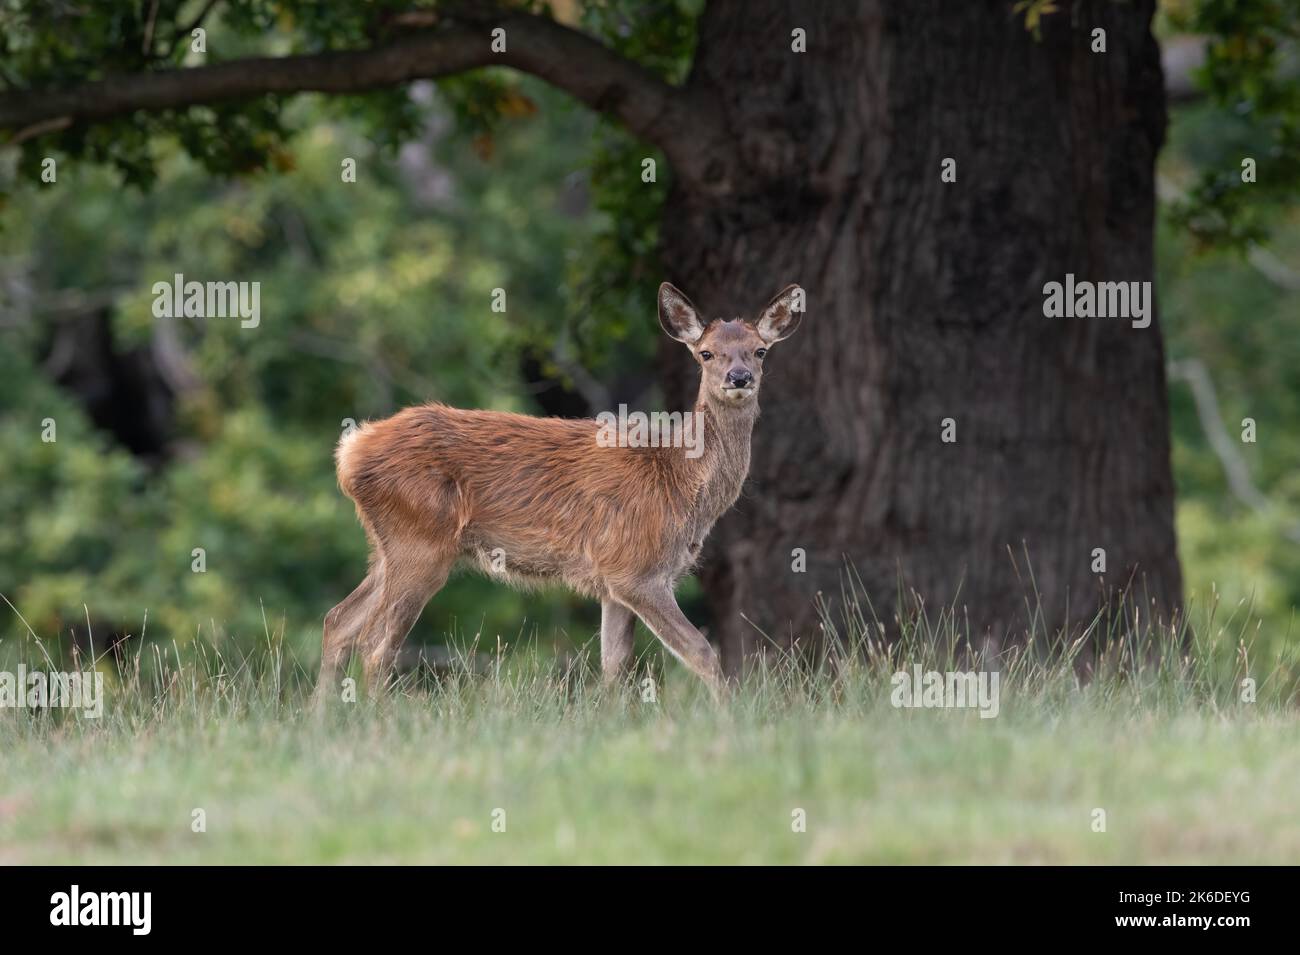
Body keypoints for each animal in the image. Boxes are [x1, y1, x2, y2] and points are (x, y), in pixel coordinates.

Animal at [313, 282, 803, 704]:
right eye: (706, 353)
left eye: (760, 350)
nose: (739, 377)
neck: (679, 483)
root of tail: (351, 451)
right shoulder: (637, 569)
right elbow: (701, 651)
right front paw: (729, 719)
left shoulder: (613, 581)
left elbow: (614, 666)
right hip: (420, 542)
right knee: (376, 645)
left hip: (388, 546)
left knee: (338, 621)